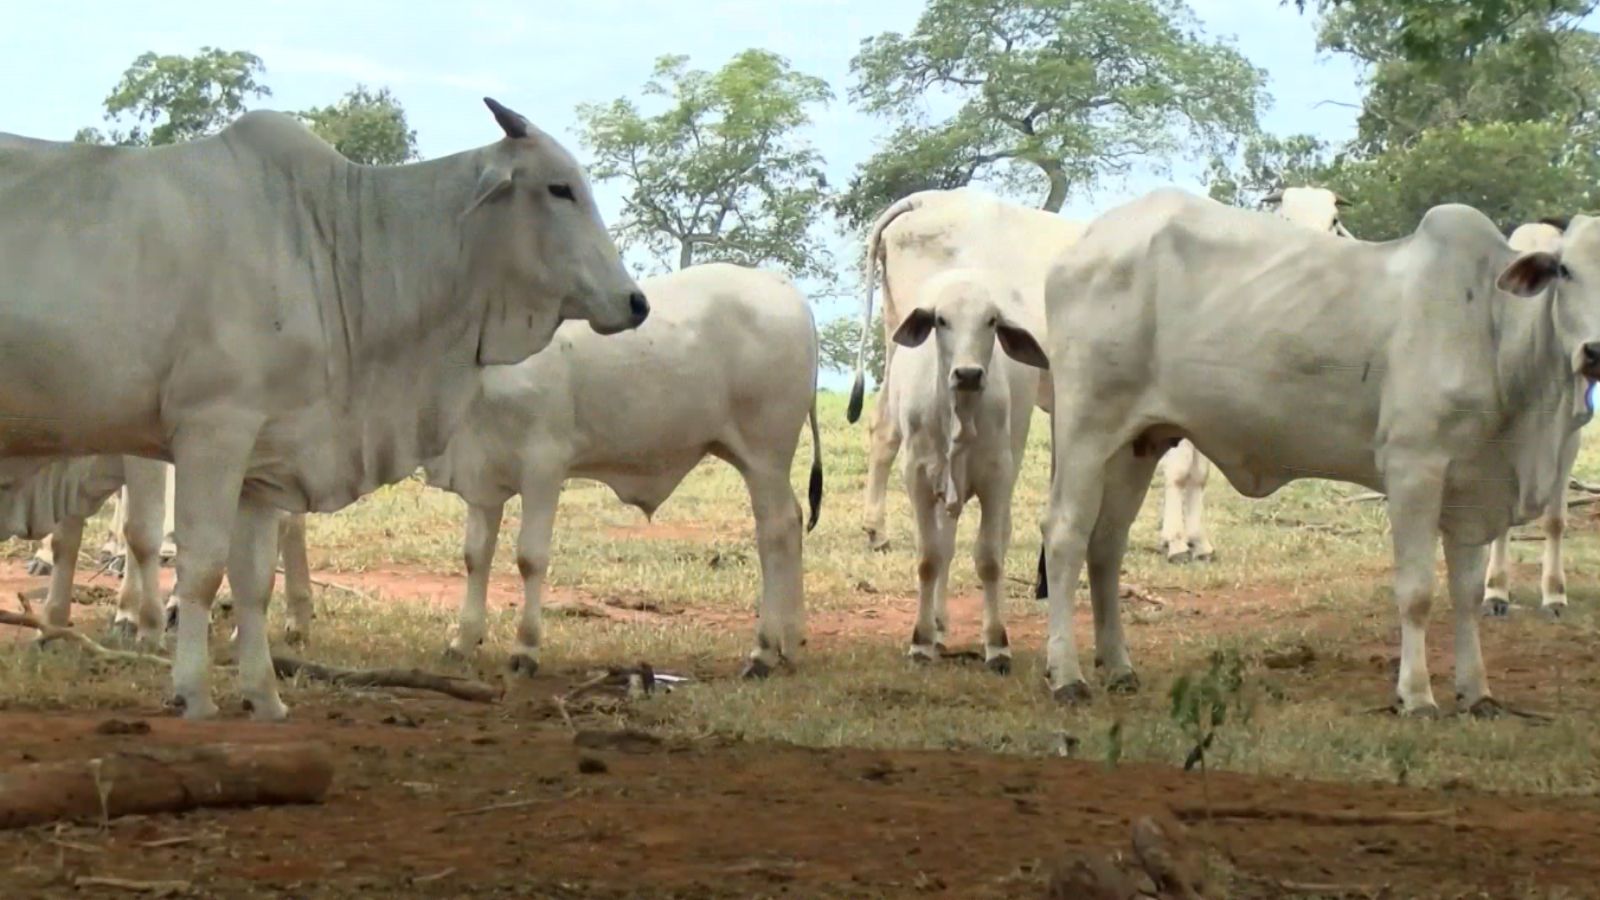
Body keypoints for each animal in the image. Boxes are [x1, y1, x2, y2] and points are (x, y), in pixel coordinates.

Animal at [3, 96, 649, 714]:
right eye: (559, 188)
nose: (636, 302)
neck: (330, 238)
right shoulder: (211, 429)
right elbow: (199, 565)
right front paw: (191, 689)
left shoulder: (264, 458)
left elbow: (254, 579)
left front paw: (264, 696)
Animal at [876, 264, 1049, 666]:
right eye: (941, 320)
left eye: (991, 321)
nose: (968, 374)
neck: (959, 413)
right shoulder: (917, 476)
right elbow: (929, 558)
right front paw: (921, 640)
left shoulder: (997, 477)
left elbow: (989, 559)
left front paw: (997, 643)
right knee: (945, 547)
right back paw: (939, 627)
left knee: (993, 540)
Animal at [1158, 183, 1356, 560]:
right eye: (1285, 219)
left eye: (1333, 220)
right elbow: (1178, 471)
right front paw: (1176, 542)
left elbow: (1198, 474)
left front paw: (1197, 542)